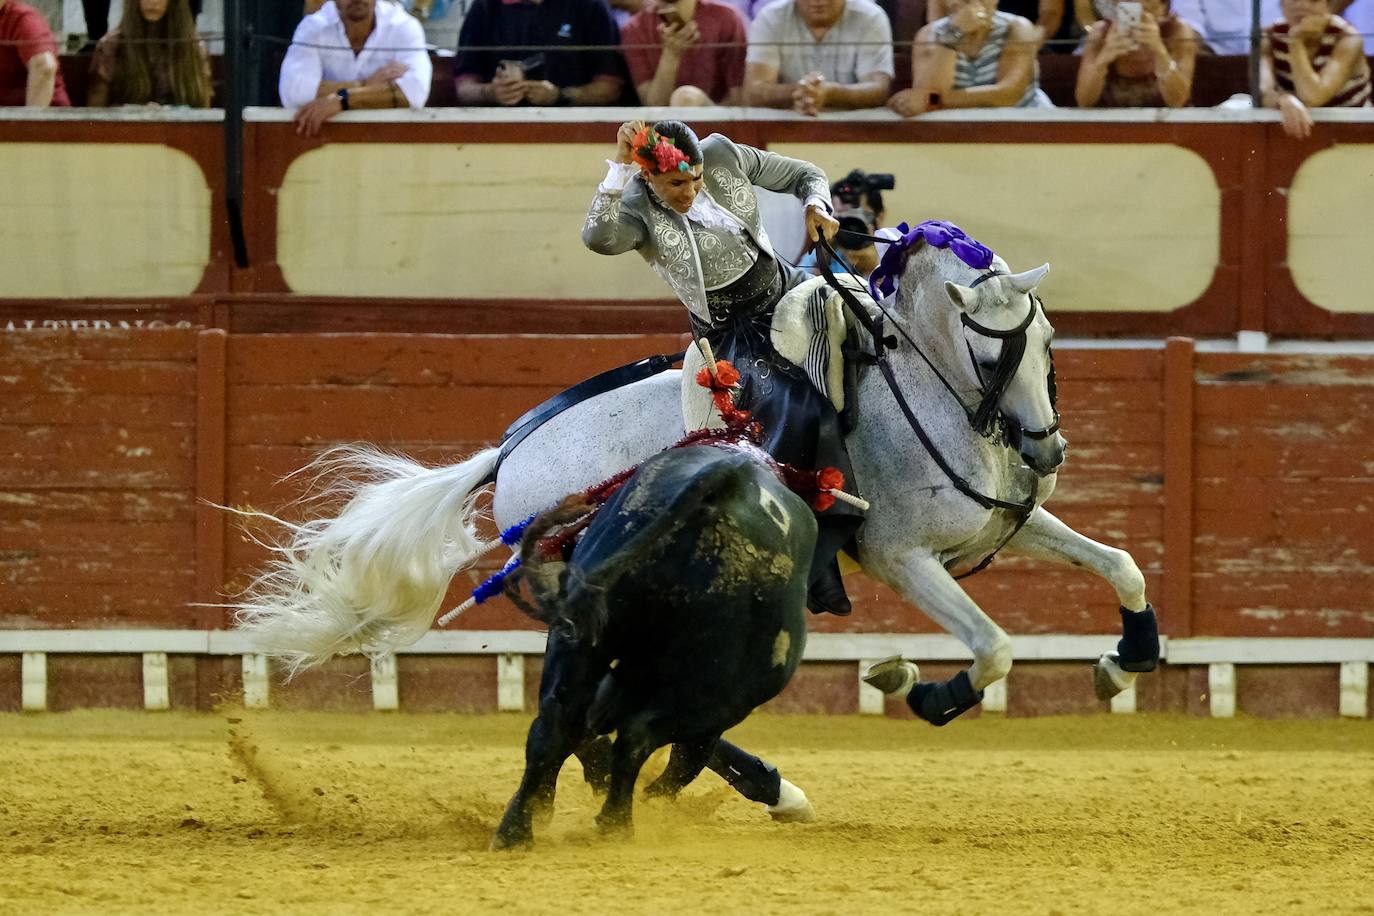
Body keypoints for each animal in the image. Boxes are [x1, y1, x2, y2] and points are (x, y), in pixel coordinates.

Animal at [239, 238, 1159, 725]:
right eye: (991, 350)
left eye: (1050, 342)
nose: (1046, 452)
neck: (925, 386)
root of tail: (511, 452)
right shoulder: (903, 558)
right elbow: (996, 645)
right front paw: (921, 689)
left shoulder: (1007, 523)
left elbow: (1120, 564)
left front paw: (1126, 661)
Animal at [491, 447, 813, 851]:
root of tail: (723, 483)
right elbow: (686, 759)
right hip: (720, 694)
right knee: (637, 738)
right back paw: (615, 824)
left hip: (577, 641)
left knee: (554, 725)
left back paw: (515, 831)